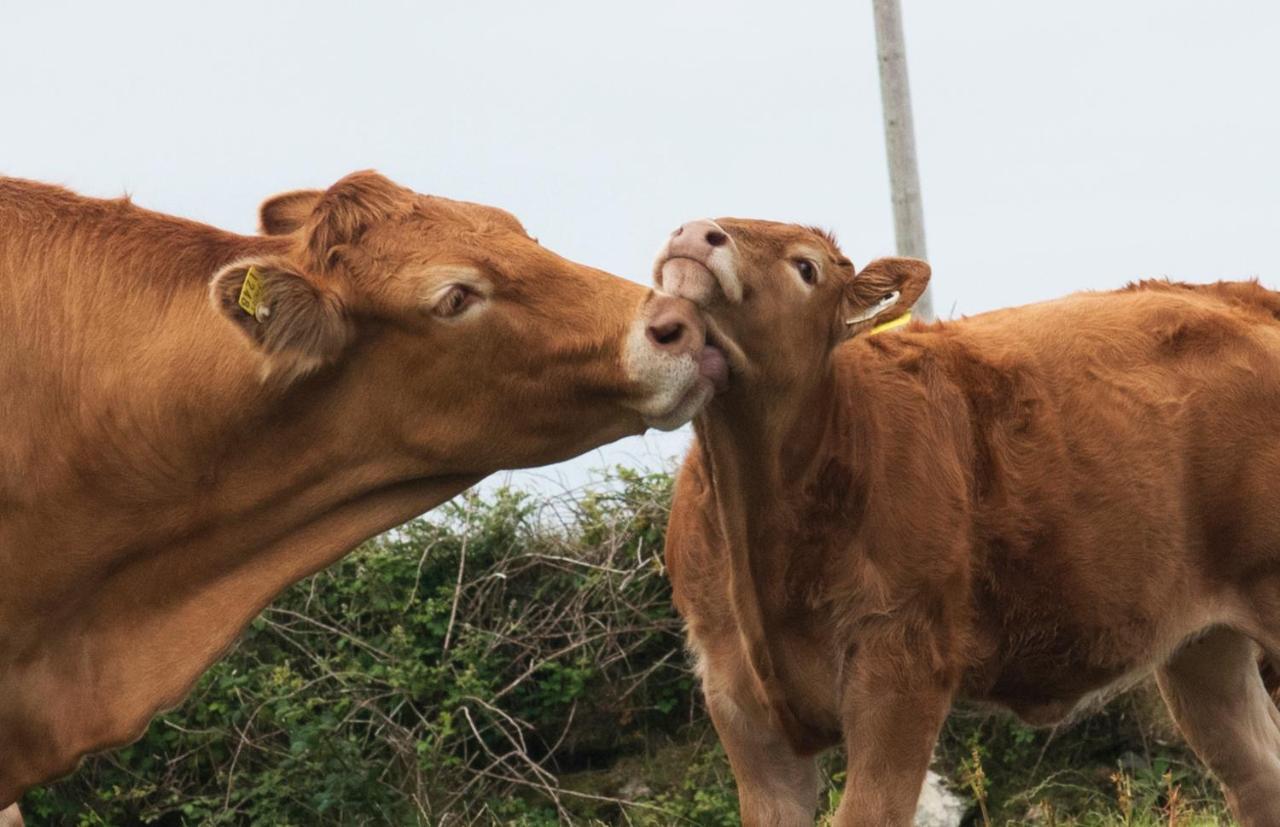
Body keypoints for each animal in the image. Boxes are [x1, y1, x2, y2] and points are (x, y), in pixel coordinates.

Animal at [655, 218, 1280, 827]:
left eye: (805, 267)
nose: (695, 233)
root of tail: (1242, 295)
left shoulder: (902, 665)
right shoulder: (734, 696)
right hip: (1202, 647)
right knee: (1256, 775)